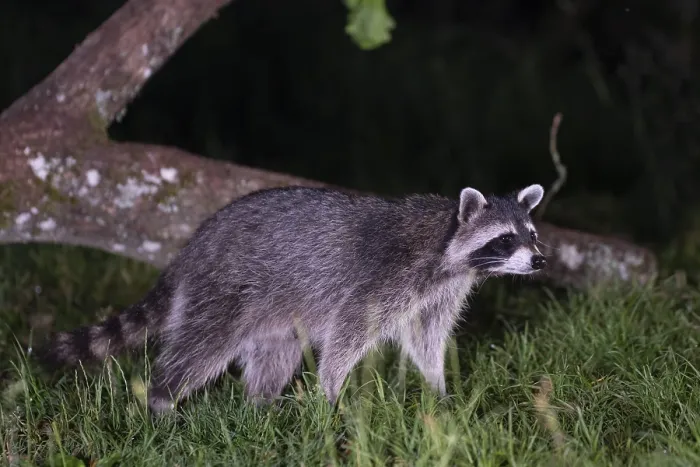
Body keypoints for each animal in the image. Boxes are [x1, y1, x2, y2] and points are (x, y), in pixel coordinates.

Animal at [34, 184, 547, 413]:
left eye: (533, 234)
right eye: (505, 239)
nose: (540, 261)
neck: (446, 245)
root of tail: (192, 247)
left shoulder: (440, 290)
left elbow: (425, 338)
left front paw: (437, 386)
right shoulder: (384, 278)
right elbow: (346, 334)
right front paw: (330, 395)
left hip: (272, 314)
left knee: (272, 358)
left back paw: (259, 406)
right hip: (223, 289)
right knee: (200, 348)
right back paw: (163, 399)